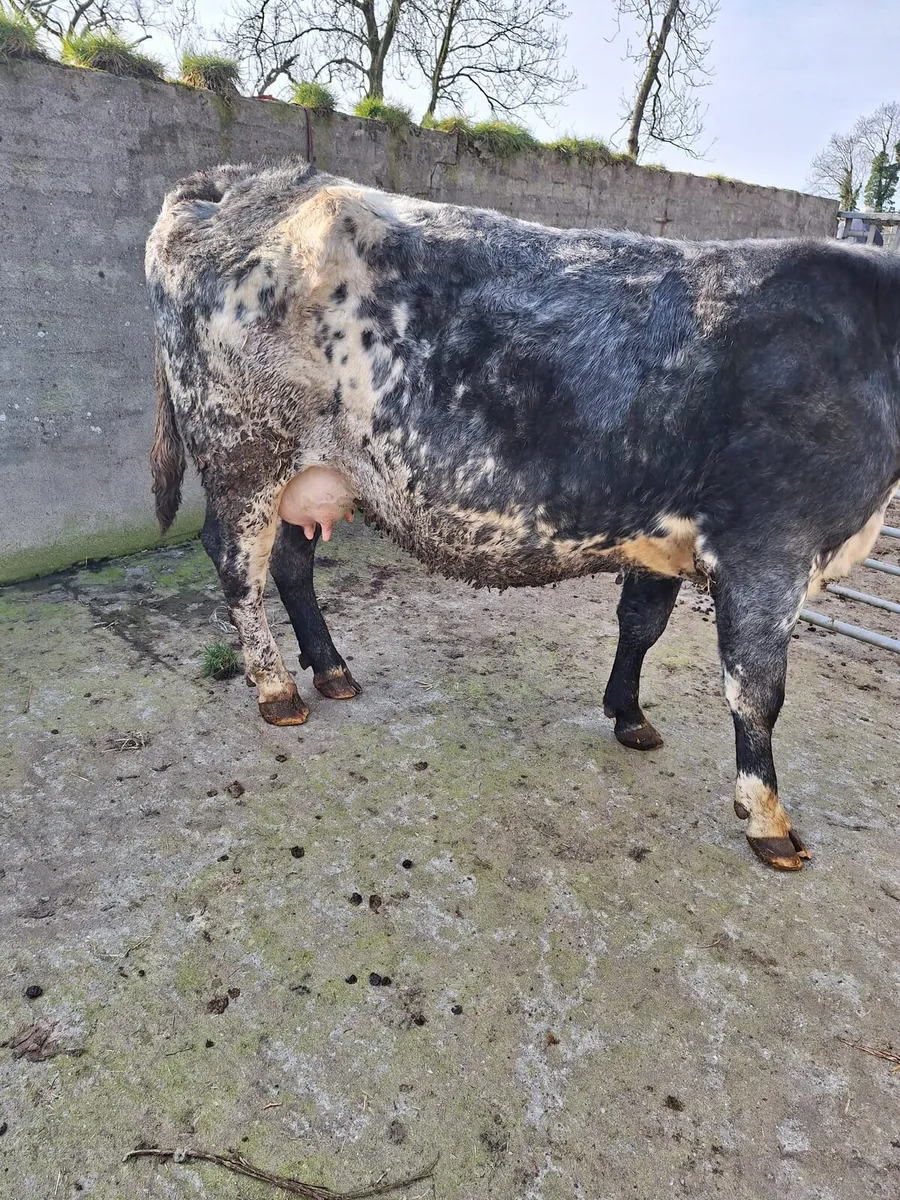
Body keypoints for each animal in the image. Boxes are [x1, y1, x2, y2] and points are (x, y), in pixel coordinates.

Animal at [146, 158, 900, 873]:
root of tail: (243, 181)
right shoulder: (770, 547)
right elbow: (757, 690)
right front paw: (768, 818)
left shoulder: (665, 533)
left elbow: (642, 624)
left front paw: (629, 714)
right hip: (244, 451)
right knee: (237, 563)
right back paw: (276, 690)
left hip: (314, 473)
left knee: (292, 562)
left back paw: (331, 671)